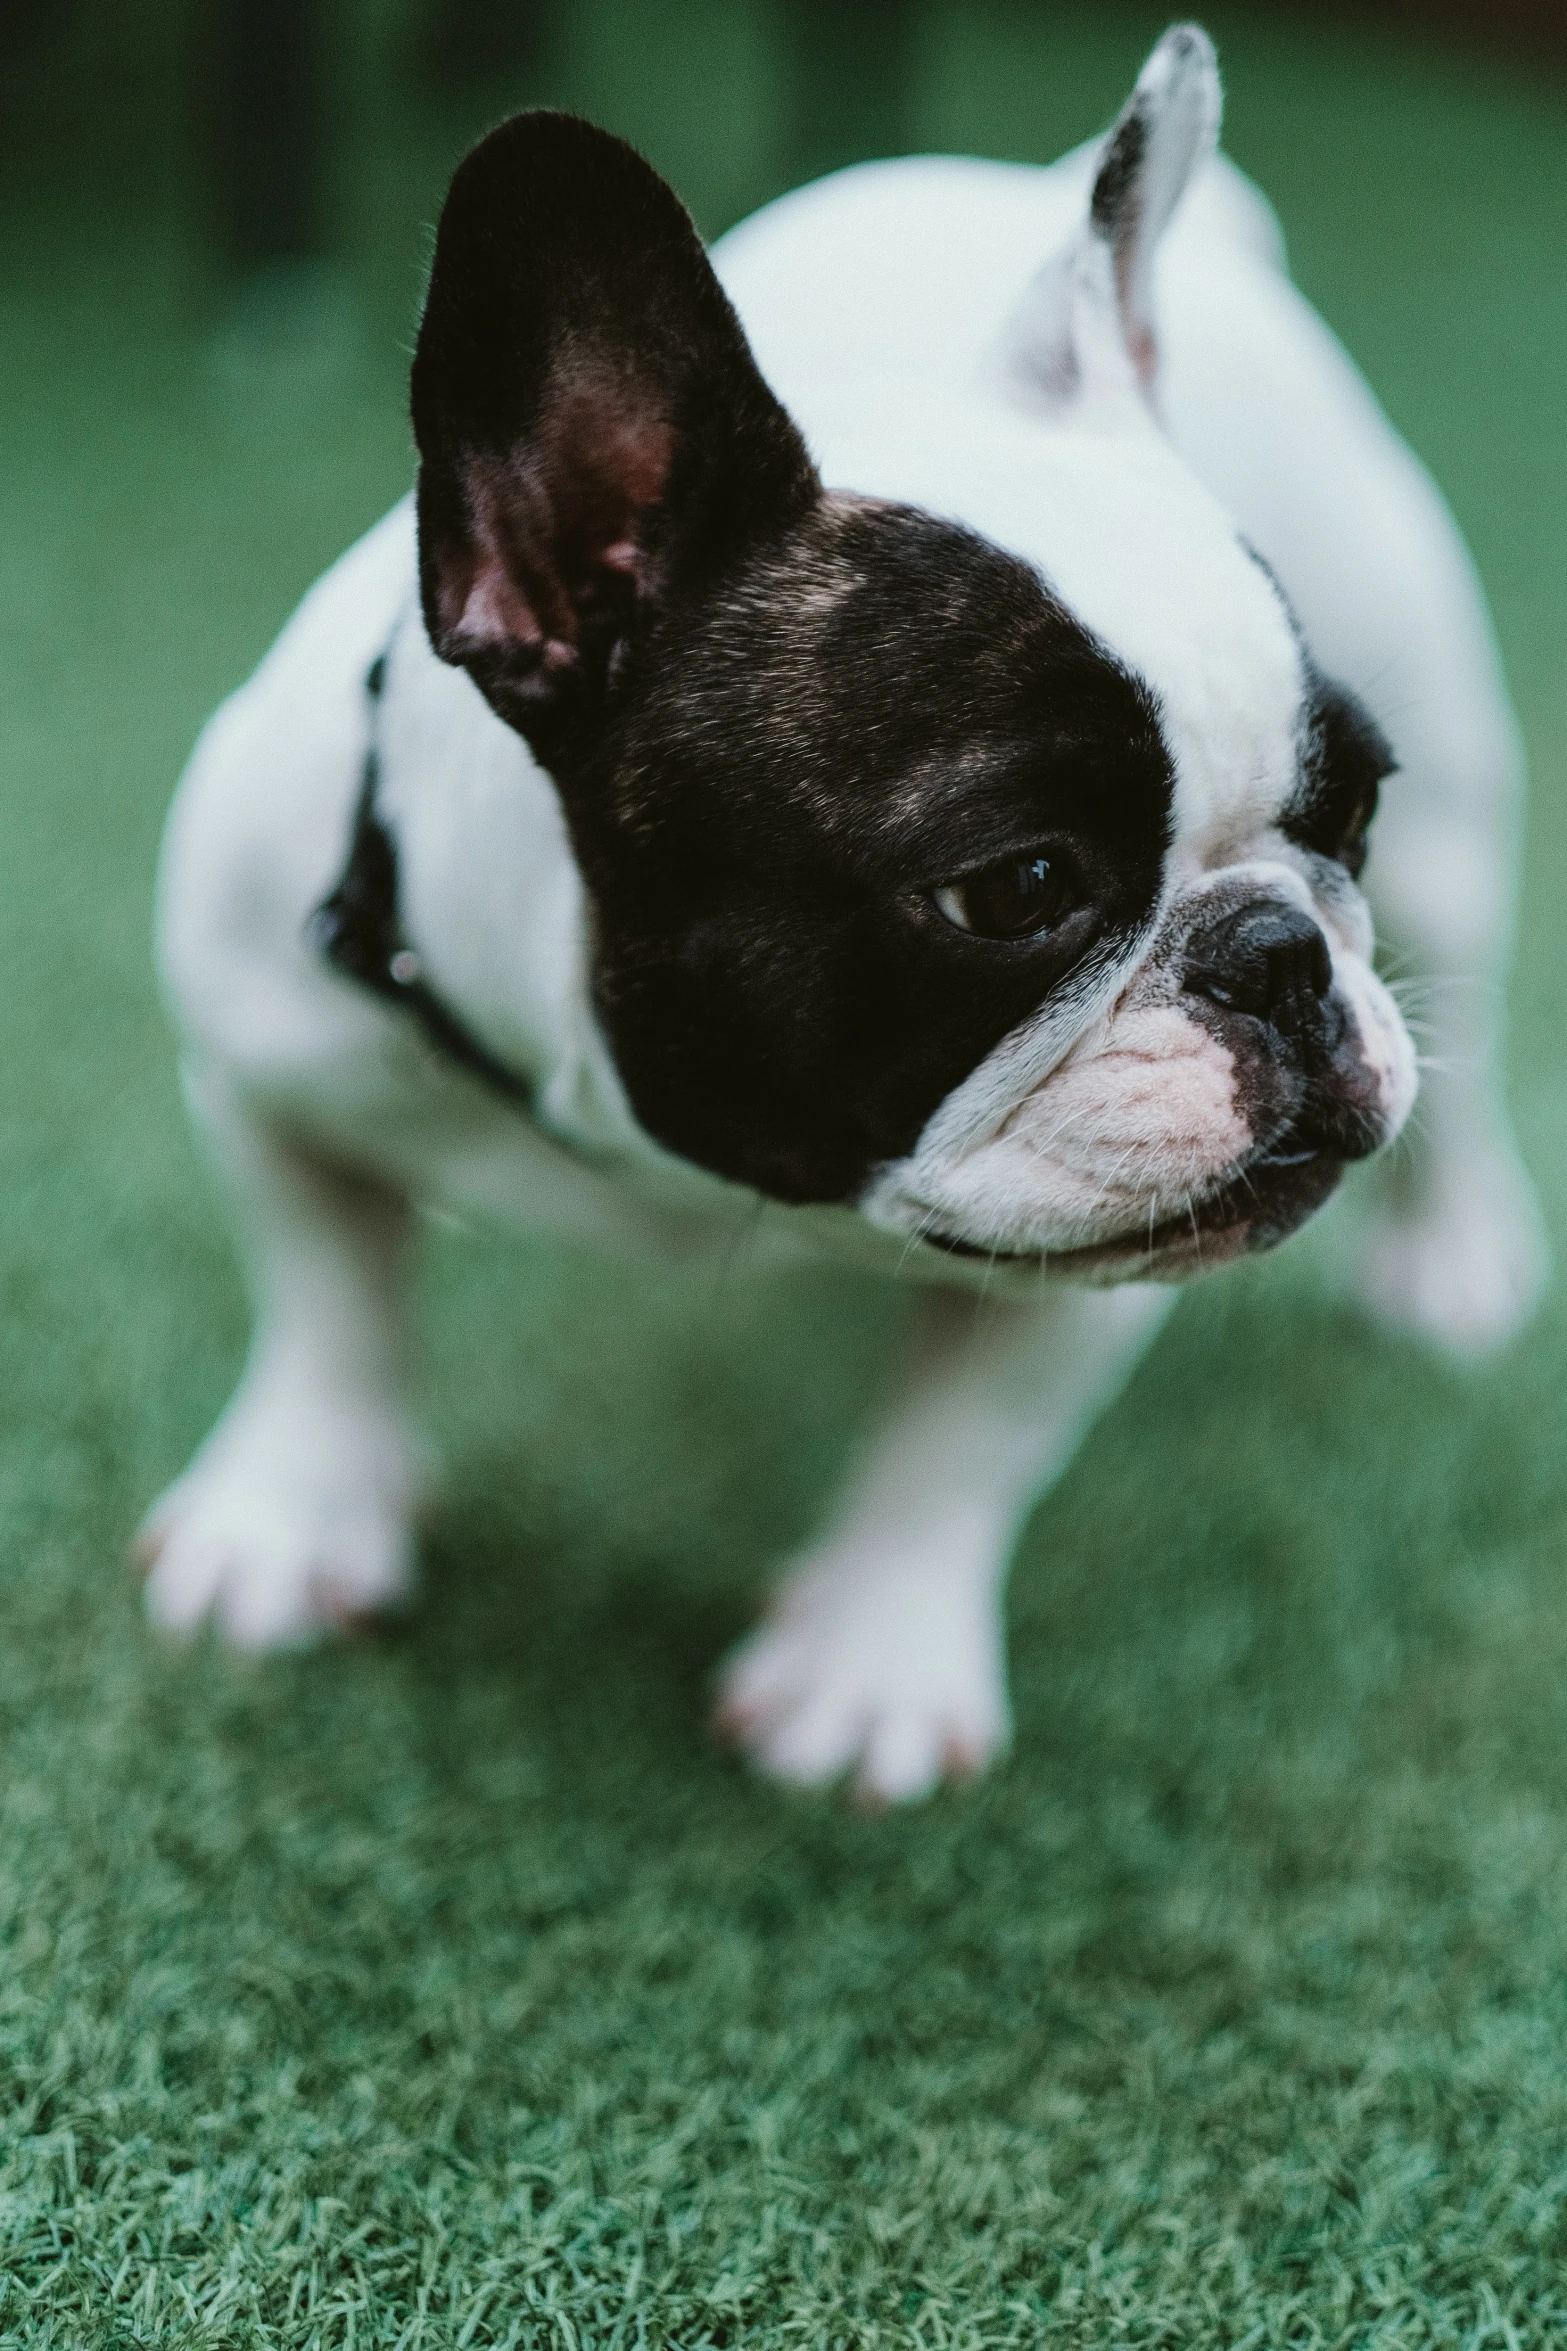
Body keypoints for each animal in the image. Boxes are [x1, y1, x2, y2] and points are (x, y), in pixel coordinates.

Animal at [143, 27, 1541, 1796]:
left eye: (1348, 801)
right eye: (1014, 888)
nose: (1278, 953)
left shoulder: (1117, 1237)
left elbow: (965, 1445)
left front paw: (870, 1662)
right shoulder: (259, 1064)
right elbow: (320, 1298)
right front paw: (290, 1514)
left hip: (1451, 842)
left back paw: (1457, 1254)